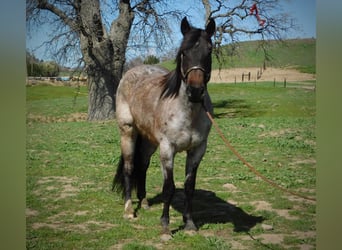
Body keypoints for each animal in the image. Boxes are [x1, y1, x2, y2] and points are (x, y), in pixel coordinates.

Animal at [113, 16, 215, 233]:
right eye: (183, 52)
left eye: (209, 50)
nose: (195, 91)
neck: (188, 112)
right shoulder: (168, 149)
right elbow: (169, 187)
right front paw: (166, 227)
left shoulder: (197, 150)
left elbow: (189, 187)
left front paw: (189, 224)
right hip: (128, 132)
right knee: (129, 167)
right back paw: (129, 210)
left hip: (150, 141)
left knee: (142, 165)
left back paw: (143, 201)